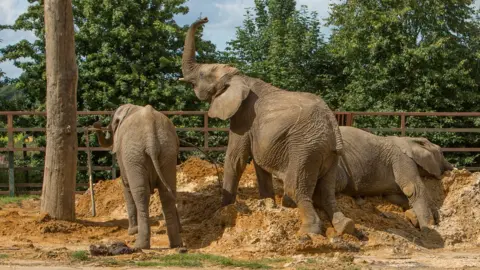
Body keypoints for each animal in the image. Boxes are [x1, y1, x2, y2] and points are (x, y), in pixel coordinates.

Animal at [93, 104, 183, 249]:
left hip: (134, 156)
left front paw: (131, 232)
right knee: (167, 193)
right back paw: (176, 244)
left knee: (140, 193)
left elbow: (126, 186)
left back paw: (140, 245)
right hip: (168, 151)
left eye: (113, 125)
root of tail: (151, 137)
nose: (97, 123)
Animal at [178, 17, 354, 235]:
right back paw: (346, 226)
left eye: (202, 74)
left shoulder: (243, 117)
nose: (205, 18)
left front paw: (222, 212)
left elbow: (236, 159)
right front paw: (268, 205)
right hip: (331, 153)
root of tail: (331, 122)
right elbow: (258, 162)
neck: (239, 77)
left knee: (295, 187)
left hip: (305, 148)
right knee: (326, 191)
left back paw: (309, 232)